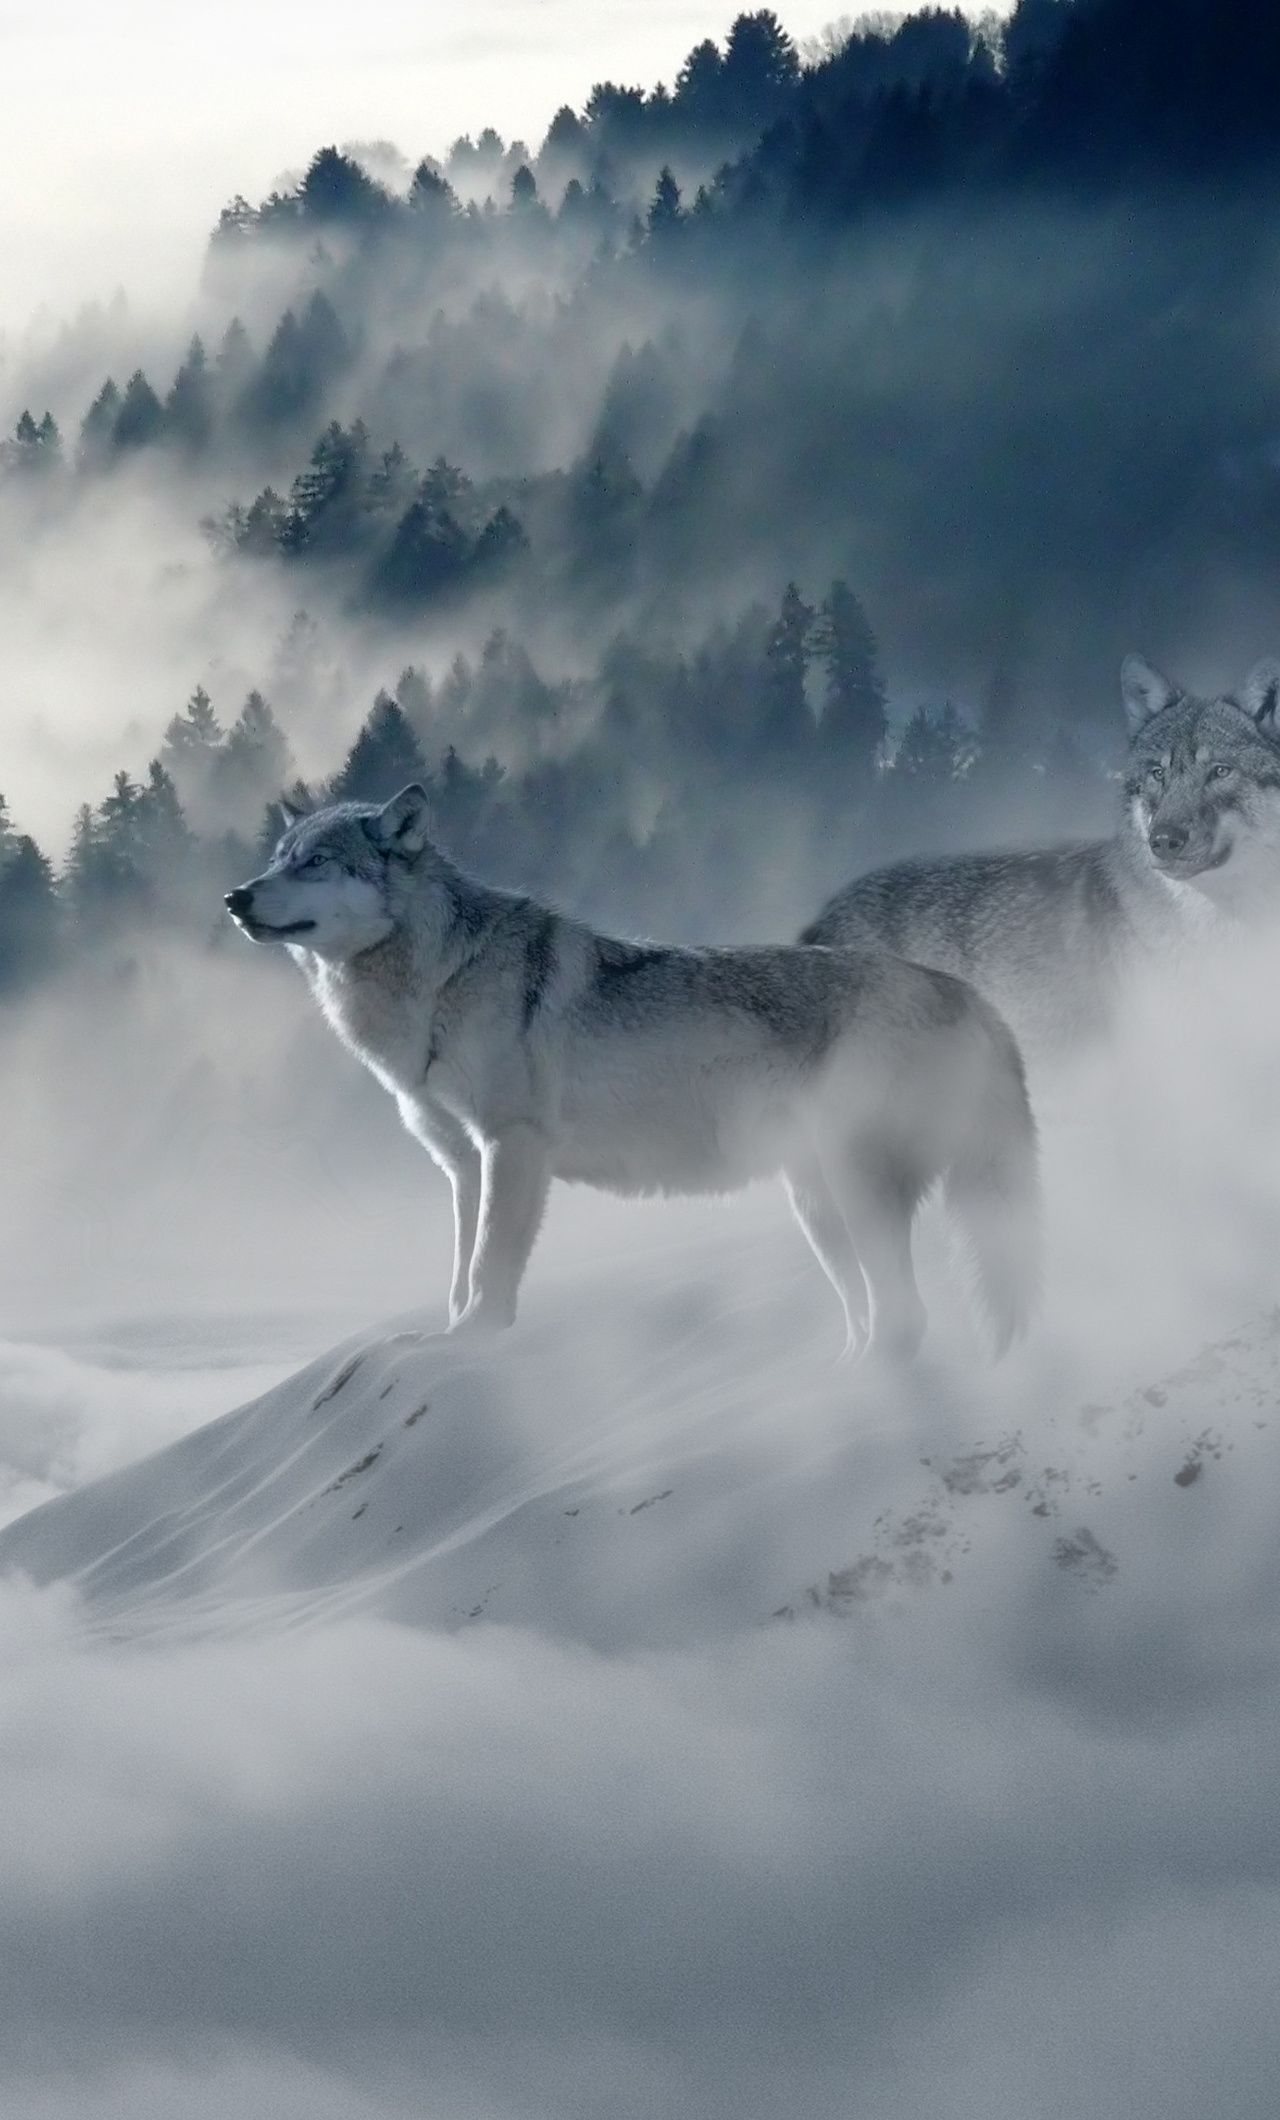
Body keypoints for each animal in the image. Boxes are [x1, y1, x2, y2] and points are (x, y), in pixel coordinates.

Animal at [225, 785, 1040, 1362]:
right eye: (278, 857)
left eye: (315, 862)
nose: (235, 896)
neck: (438, 980)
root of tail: (973, 997)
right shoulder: (463, 1164)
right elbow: (458, 1274)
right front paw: (444, 1338)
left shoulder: (513, 1147)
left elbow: (488, 1270)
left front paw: (473, 1342)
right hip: (817, 1207)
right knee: (874, 1316)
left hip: (854, 1189)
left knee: (907, 1318)